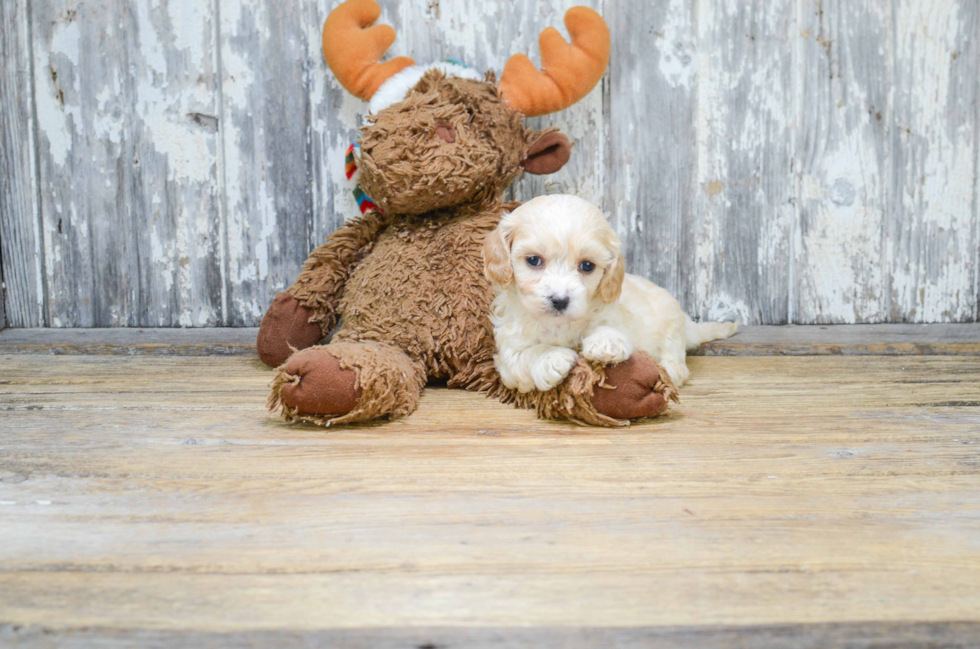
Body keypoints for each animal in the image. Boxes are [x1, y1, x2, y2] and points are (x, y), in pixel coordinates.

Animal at [482, 195, 736, 392]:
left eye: (587, 266)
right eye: (534, 260)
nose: (560, 300)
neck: (560, 325)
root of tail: (687, 322)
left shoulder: (615, 315)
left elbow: (609, 326)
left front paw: (606, 342)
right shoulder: (508, 355)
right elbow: (527, 355)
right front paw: (551, 358)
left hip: (671, 331)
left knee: (677, 365)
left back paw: (667, 372)